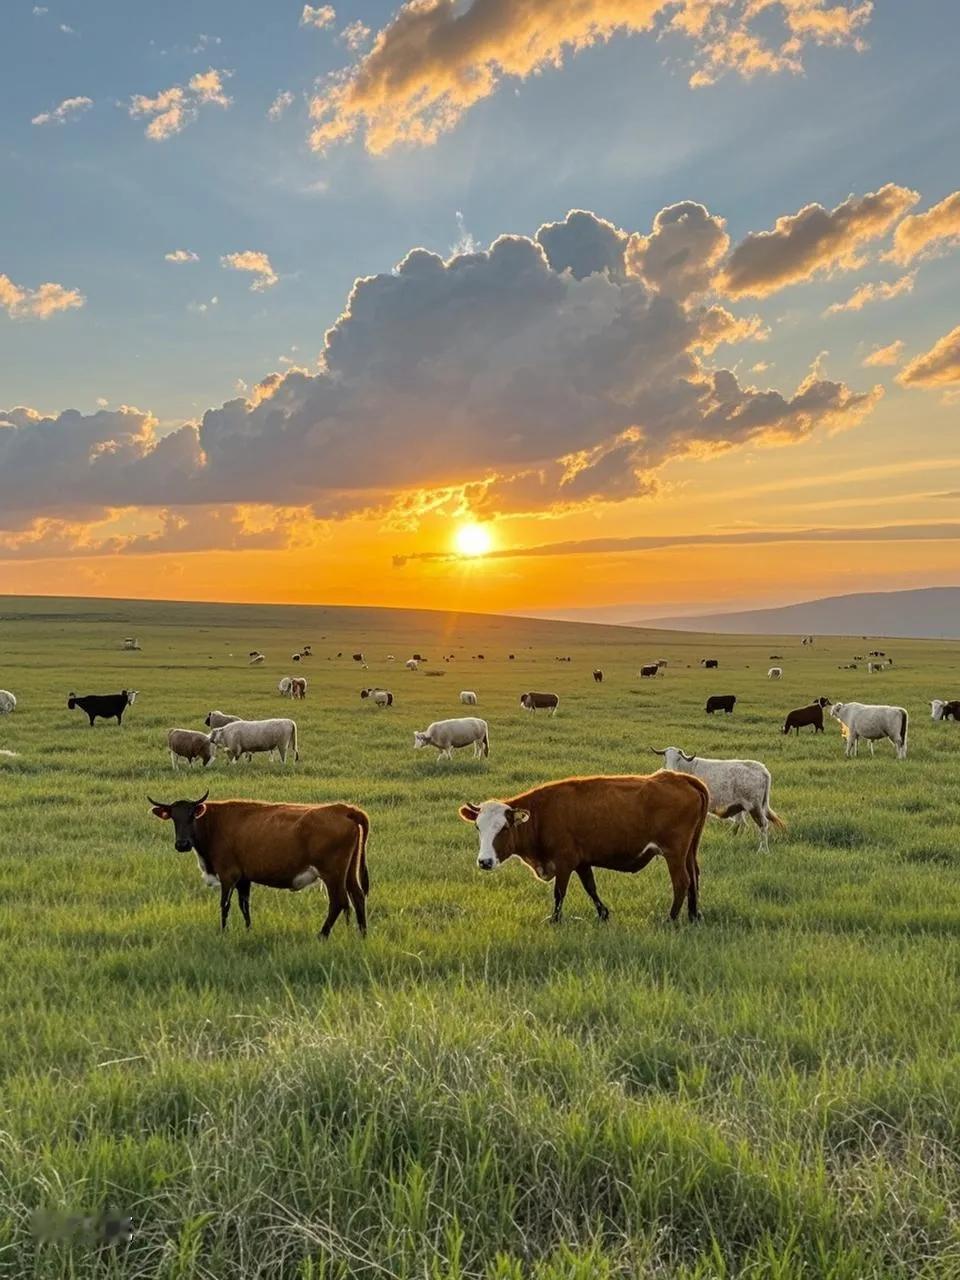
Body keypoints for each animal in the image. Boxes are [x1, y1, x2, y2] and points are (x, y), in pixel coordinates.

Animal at [148, 793, 371, 936]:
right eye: (173, 818)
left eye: (191, 816)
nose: (182, 844)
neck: (215, 823)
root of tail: (344, 809)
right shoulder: (244, 878)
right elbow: (244, 905)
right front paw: (248, 930)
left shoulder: (228, 875)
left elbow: (225, 905)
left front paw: (223, 933)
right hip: (348, 871)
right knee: (357, 896)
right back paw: (362, 934)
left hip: (332, 873)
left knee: (339, 902)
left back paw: (322, 935)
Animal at [458, 762, 716, 926]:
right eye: (478, 827)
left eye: (503, 828)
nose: (485, 861)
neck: (542, 813)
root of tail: (683, 778)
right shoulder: (582, 861)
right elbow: (591, 887)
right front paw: (603, 913)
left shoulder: (564, 861)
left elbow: (559, 893)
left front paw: (555, 920)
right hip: (689, 851)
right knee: (694, 877)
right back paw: (693, 915)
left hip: (674, 852)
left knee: (682, 882)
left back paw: (670, 918)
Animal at [650, 747, 783, 855]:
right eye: (665, 758)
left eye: (678, 759)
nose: (670, 771)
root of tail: (762, 770)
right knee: (742, 823)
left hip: (754, 807)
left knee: (763, 824)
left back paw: (763, 850)